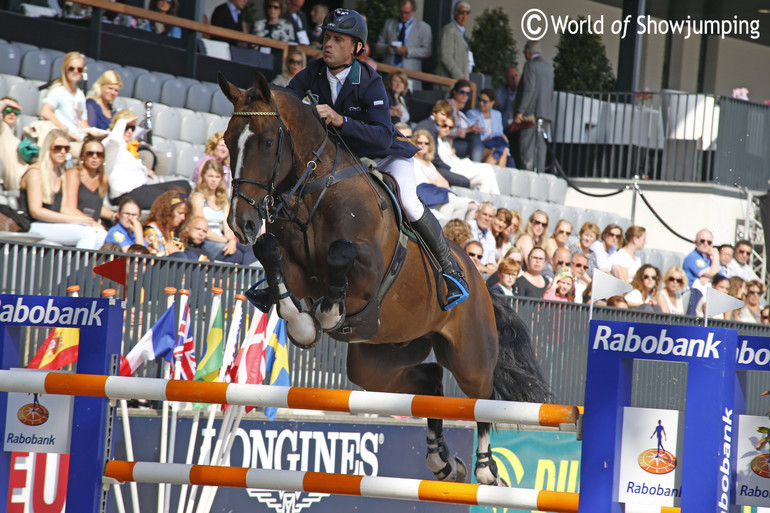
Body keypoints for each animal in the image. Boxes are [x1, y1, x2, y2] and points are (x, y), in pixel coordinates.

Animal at [219, 72, 548, 484]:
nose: (241, 224)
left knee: (480, 396)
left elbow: (340, 256)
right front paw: (304, 325)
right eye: (228, 140)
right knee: (429, 380)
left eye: (266, 141)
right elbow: (272, 257)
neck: (313, 189)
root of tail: (483, 286)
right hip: (379, 359)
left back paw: (486, 471)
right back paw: (443, 462)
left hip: (470, 352)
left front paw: (327, 313)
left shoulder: (368, 272)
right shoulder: (293, 270)